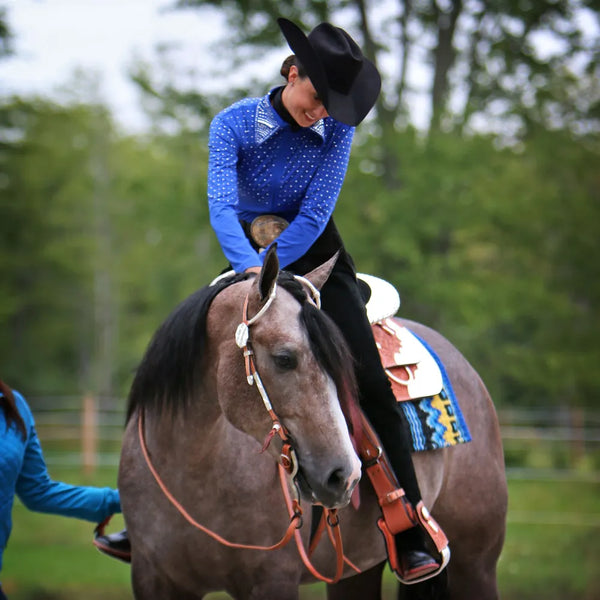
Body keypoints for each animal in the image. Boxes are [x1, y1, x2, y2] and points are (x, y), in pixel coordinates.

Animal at [119, 246, 508, 596]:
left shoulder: (272, 581)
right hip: (356, 573)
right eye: (284, 358)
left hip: (476, 563)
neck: (195, 471)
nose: (343, 475)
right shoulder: (153, 579)